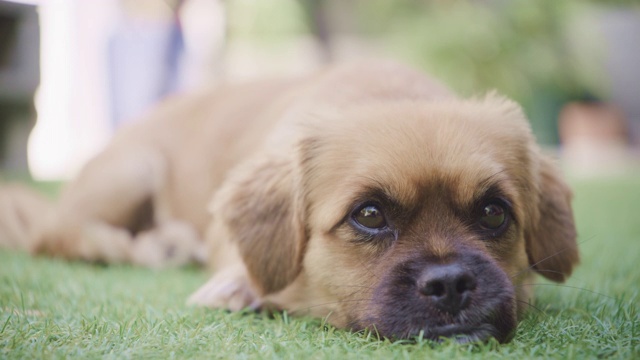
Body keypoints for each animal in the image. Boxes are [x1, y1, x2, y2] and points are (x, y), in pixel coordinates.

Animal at [1, 61, 580, 344]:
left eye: (493, 212)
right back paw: (156, 247)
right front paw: (239, 285)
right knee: (59, 236)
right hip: (133, 168)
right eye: (369, 215)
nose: (452, 282)